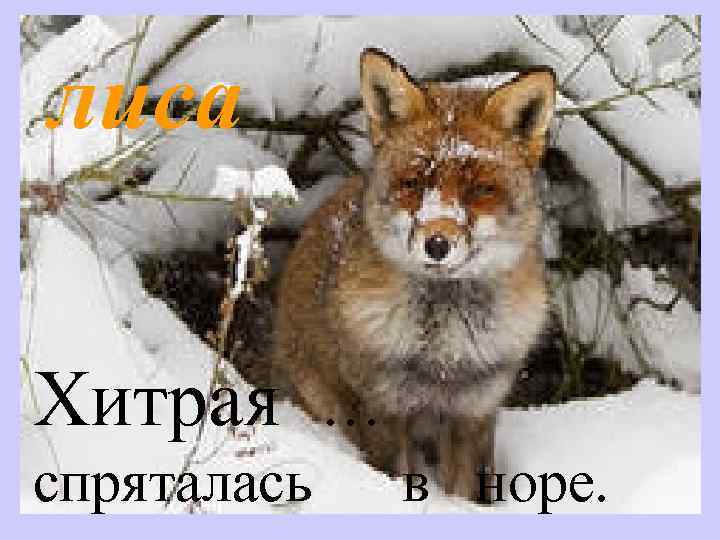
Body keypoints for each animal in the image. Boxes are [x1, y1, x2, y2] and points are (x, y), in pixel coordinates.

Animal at [274, 48, 555, 502]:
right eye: (413, 183)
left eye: (480, 190)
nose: (437, 244)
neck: (443, 355)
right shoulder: (383, 408)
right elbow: (397, 477)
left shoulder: (474, 411)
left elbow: (463, 491)